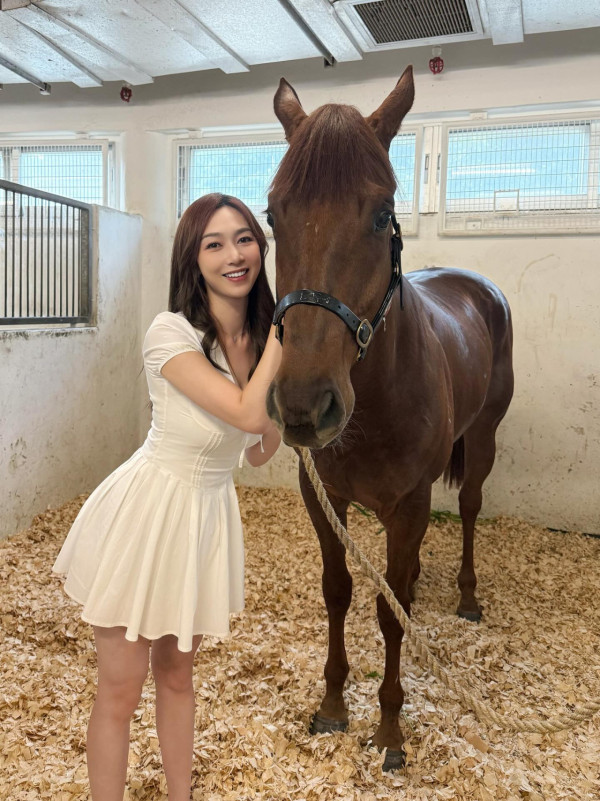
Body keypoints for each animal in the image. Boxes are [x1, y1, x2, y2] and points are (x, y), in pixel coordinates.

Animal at [265, 65, 514, 770]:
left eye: (381, 214)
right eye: (270, 213)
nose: (304, 404)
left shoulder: (408, 503)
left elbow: (388, 606)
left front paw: (390, 727)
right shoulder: (323, 496)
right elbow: (341, 590)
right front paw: (331, 704)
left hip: (482, 440)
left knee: (469, 509)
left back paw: (466, 595)